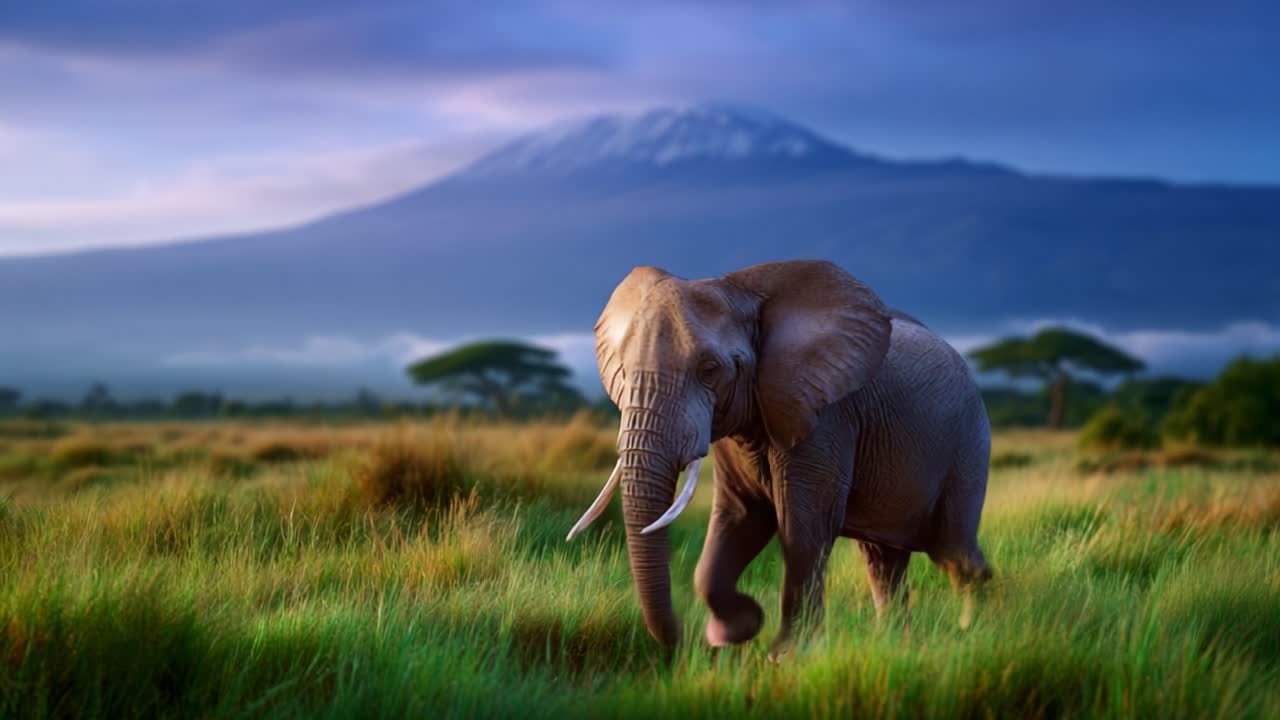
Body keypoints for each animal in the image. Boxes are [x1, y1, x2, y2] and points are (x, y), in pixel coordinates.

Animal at [566, 259, 992, 659]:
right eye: (623, 370)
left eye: (709, 370)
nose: (683, 639)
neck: (742, 293)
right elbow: (740, 519)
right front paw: (737, 631)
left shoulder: (827, 415)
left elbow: (804, 528)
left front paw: (786, 656)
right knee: (884, 562)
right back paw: (893, 645)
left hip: (970, 441)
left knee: (954, 554)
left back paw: (971, 631)